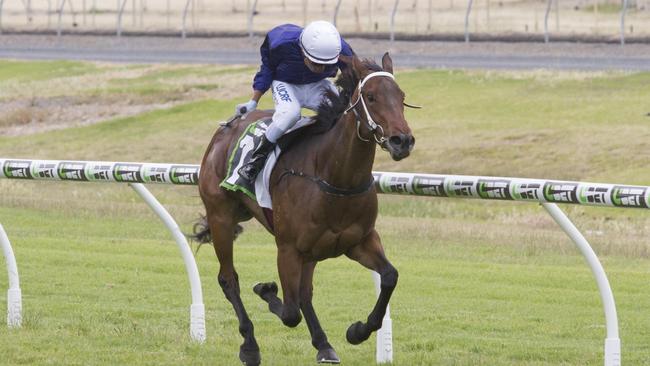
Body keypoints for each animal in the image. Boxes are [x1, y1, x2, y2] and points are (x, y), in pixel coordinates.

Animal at [195, 53, 412, 364]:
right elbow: (289, 311)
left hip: (311, 249)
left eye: (402, 96)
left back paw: (323, 344)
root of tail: (225, 129)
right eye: (371, 97)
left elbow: (390, 277)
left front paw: (358, 331)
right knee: (229, 279)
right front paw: (265, 290)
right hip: (221, 216)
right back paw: (250, 344)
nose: (402, 141)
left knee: (305, 293)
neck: (334, 175)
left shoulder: (360, 241)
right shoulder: (287, 249)